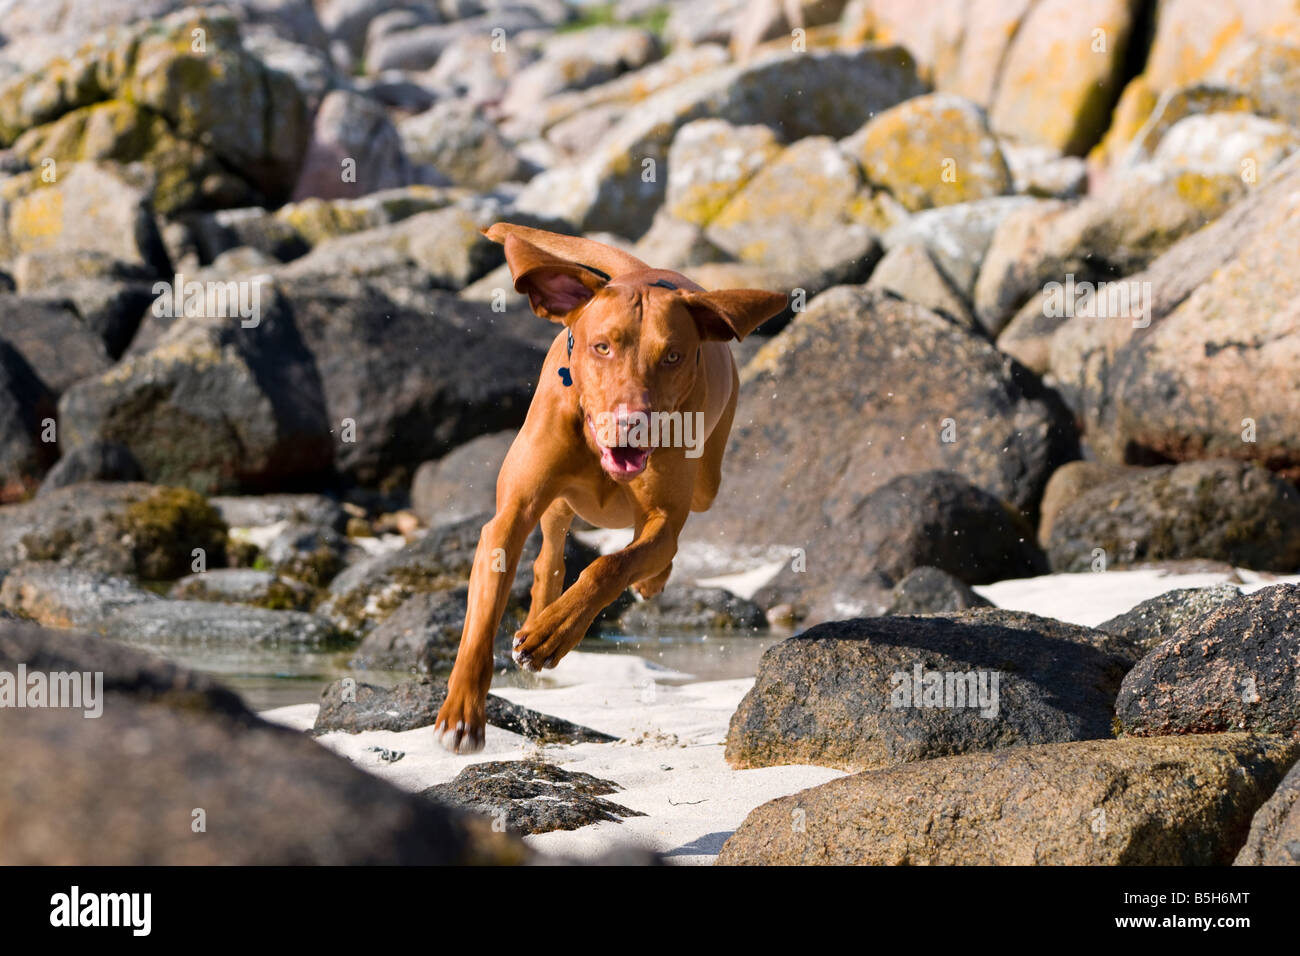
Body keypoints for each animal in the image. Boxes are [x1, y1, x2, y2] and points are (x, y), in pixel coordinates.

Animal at [431, 223, 785, 754]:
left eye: (673, 355)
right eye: (602, 347)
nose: (631, 423)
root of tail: (646, 269)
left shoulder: (662, 520)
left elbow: (611, 565)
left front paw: (556, 631)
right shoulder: (510, 515)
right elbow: (482, 616)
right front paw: (461, 715)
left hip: (708, 481)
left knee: (661, 540)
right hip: (555, 492)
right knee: (551, 547)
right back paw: (540, 607)